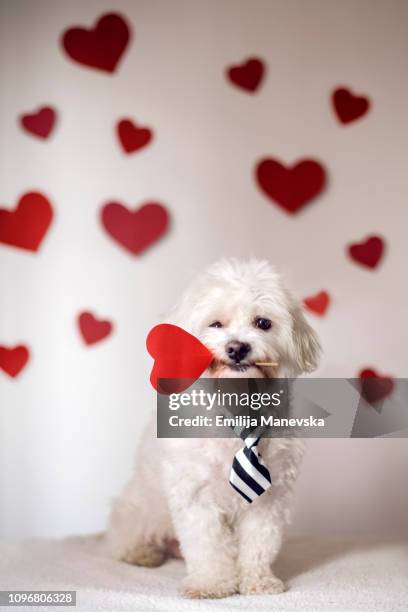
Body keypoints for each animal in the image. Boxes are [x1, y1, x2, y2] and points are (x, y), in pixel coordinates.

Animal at [108, 256, 322, 596]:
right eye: (216, 324)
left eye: (263, 323)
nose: (237, 347)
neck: (237, 404)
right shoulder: (196, 493)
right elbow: (206, 545)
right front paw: (211, 582)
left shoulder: (270, 498)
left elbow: (259, 543)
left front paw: (257, 580)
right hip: (139, 510)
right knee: (123, 539)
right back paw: (142, 554)